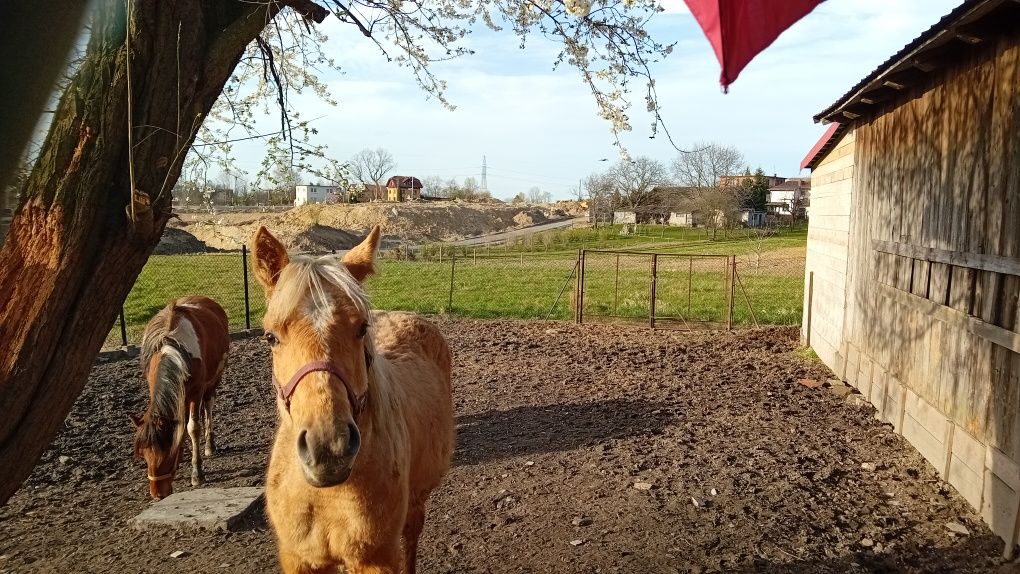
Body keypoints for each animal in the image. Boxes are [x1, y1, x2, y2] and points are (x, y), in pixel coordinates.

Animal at [131, 295, 229, 499]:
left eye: (165, 455)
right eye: (143, 456)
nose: (157, 494)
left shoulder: (196, 393)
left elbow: (193, 428)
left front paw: (197, 473)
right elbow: (180, 427)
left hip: (214, 379)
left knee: (208, 405)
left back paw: (209, 445)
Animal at [250, 225, 454, 574]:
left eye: (360, 329)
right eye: (270, 337)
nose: (328, 448)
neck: (326, 495)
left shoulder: (377, 559)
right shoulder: (299, 559)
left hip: (416, 501)